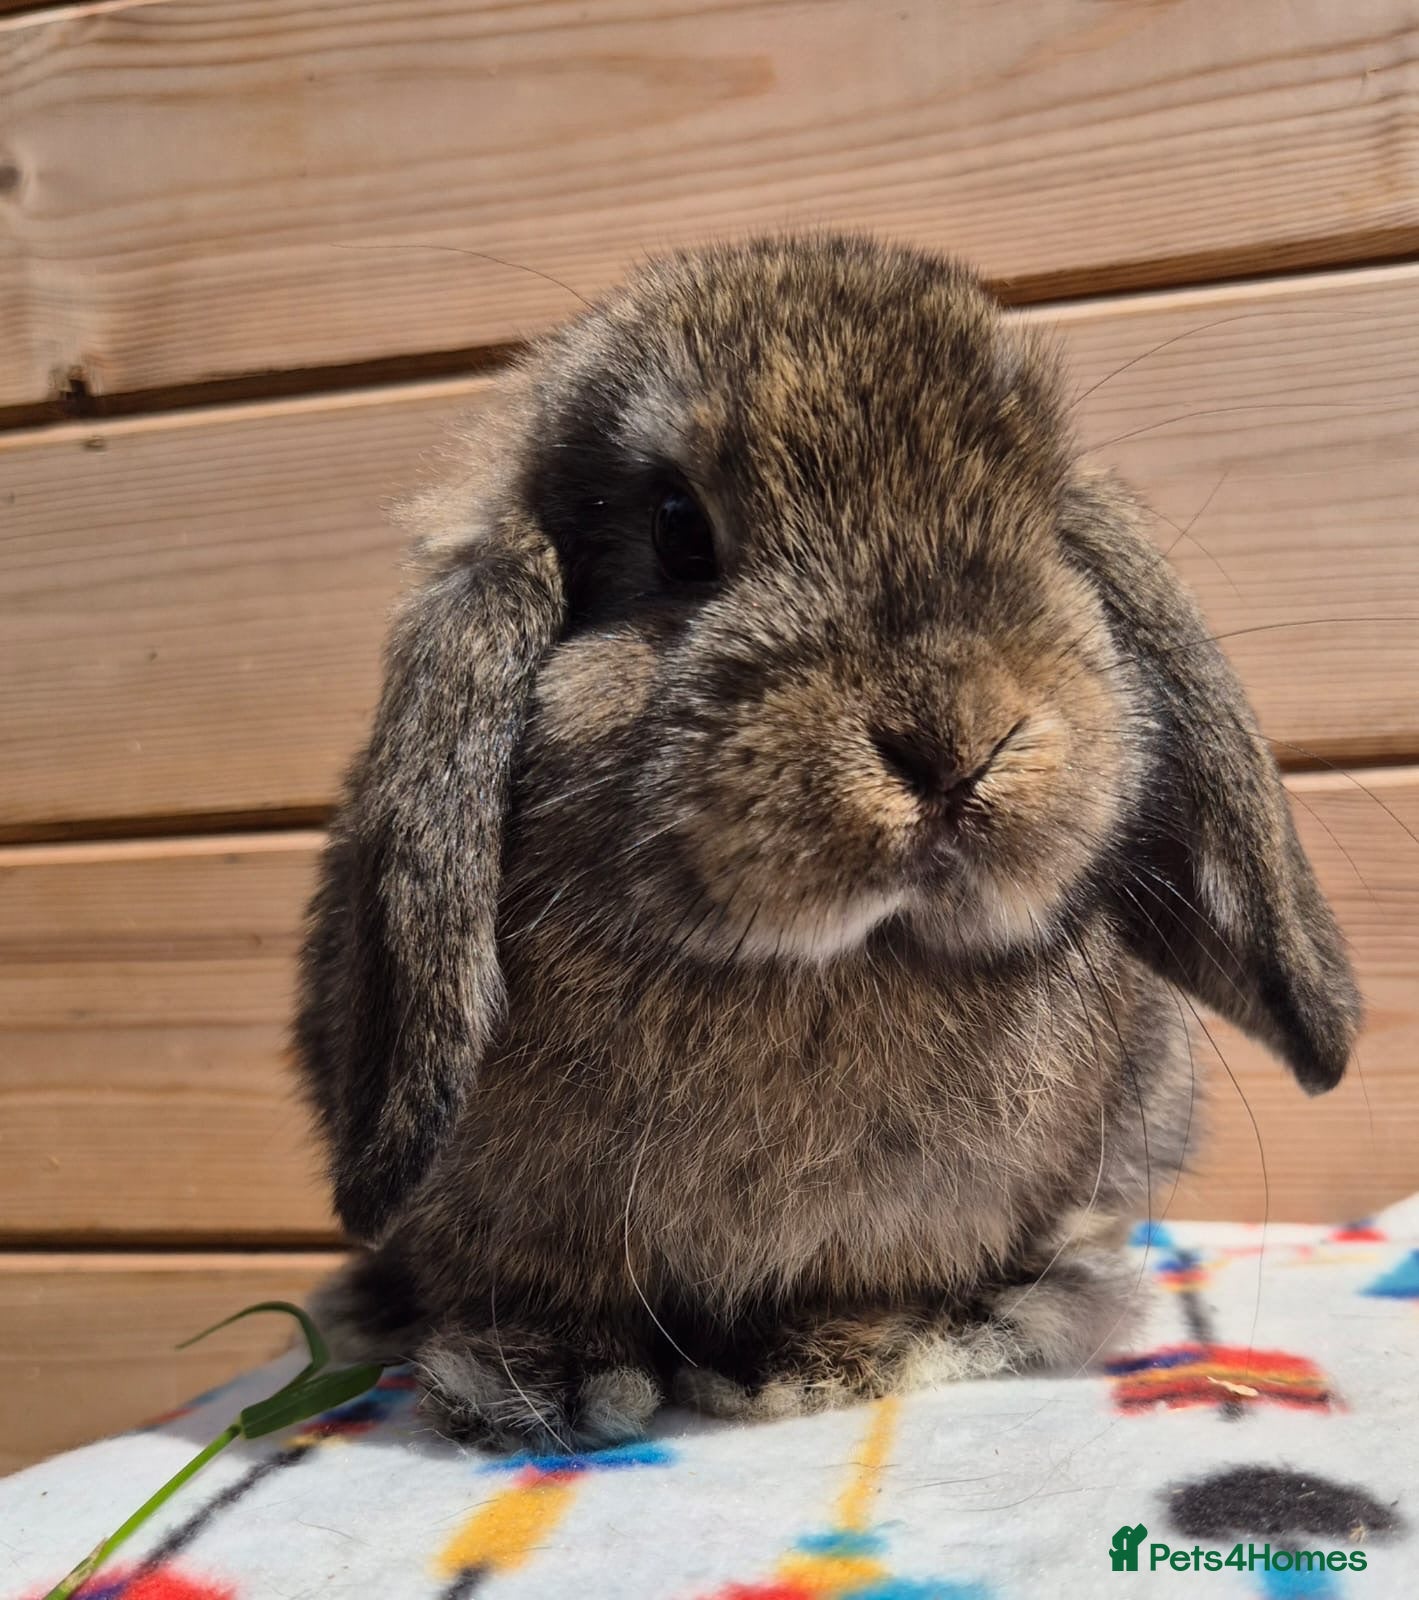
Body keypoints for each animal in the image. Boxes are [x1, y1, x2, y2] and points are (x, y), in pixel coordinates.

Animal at [296, 233, 1360, 1452]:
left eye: (1044, 530)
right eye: (677, 529)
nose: (953, 744)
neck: (830, 961)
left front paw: (816, 1360)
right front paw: (547, 1378)